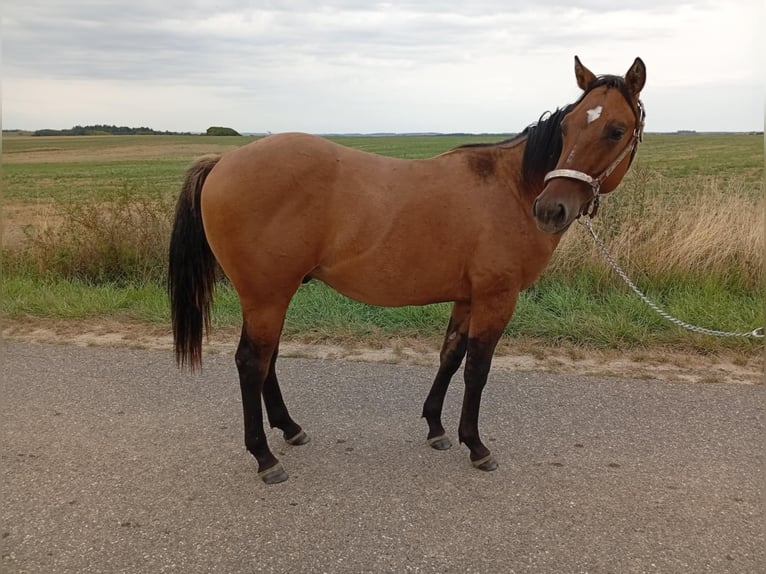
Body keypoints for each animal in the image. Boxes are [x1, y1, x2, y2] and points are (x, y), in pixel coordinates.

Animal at [168, 56, 646, 484]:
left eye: (615, 129)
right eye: (568, 128)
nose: (551, 210)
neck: (510, 187)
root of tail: (223, 161)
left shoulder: (467, 297)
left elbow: (451, 357)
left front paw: (436, 428)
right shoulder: (496, 298)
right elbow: (477, 369)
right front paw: (476, 446)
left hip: (272, 296)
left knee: (267, 360)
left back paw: (290, 429)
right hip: (266, 296)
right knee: (252, 362)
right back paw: (265, 457)